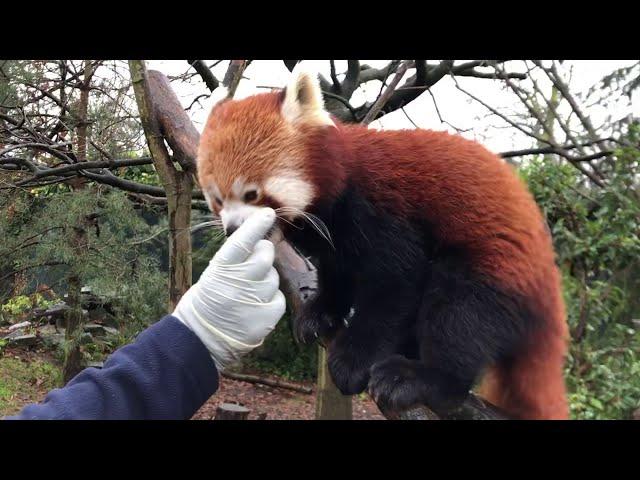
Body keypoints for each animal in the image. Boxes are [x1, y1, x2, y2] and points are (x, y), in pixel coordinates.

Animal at [196, 64, 568, 420]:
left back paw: (422, 378)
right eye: (217, 199)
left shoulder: (382, 207)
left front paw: (353, 360)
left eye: (252, 194)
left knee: (459, 314)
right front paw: (321, 313)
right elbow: (338, 273)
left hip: (495, 267)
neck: (335, 193)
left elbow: (395, 283)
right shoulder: (336, 241)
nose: (233, 229)